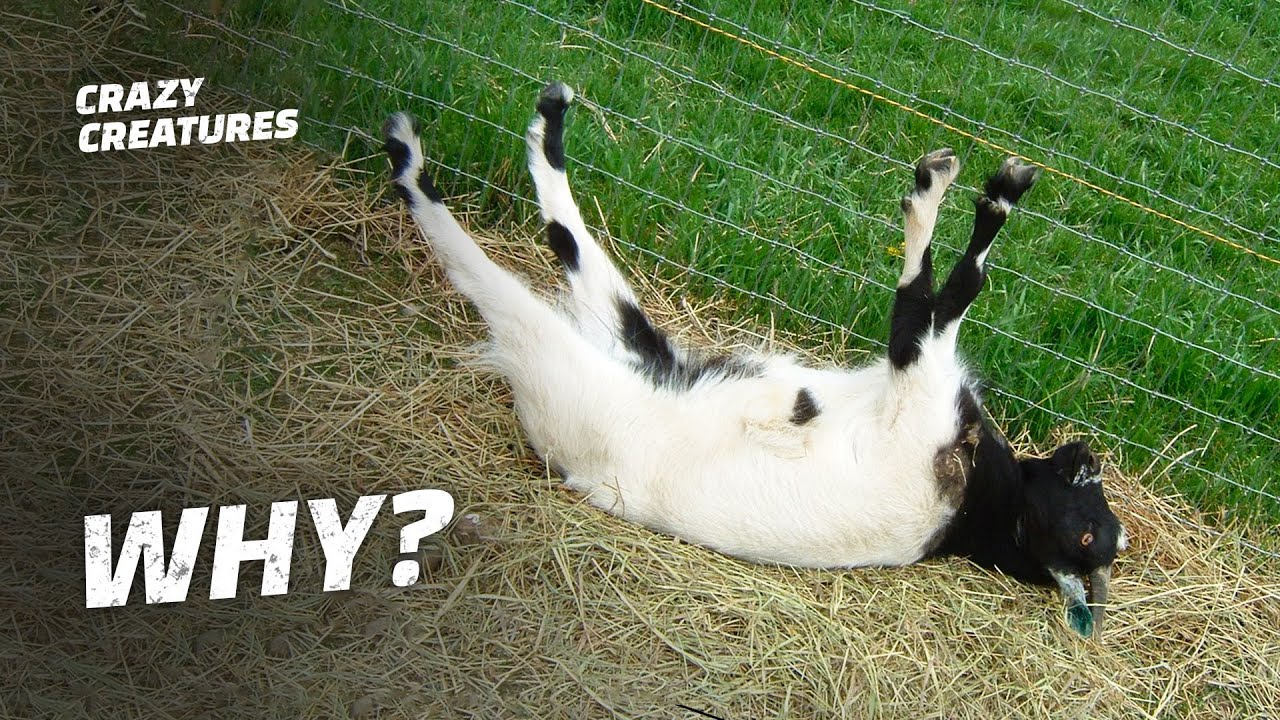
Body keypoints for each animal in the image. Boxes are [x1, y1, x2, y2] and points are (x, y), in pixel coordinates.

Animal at [382, 82, 1126, 639]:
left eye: (1090, 534)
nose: (1085, 454)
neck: (976, 510)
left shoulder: (917, 378)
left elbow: (946, 291)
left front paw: (976, 192)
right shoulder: (913, 378)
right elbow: (942, 292)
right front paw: (976, 182)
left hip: (570, 367)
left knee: (485, 271)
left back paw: (410, 153)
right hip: (644, 346)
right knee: (568, 240)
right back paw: (546, 123)